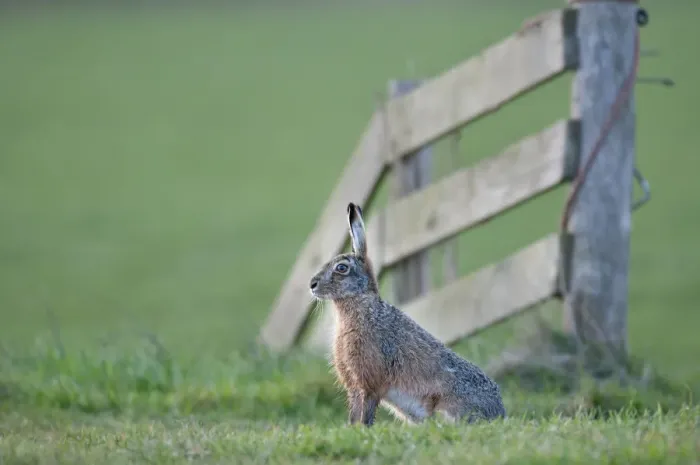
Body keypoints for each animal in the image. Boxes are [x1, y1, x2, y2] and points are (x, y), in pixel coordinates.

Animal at [309, 202, 506, 427]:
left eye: (341, 268)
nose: (312, 284)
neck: (360, 305)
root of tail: (499, 412)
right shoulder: (355, 386)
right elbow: (355, 415)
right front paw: (352, 430)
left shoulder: (369, 383)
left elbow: (366, 413)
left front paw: (363, 430)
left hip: (446, 407)